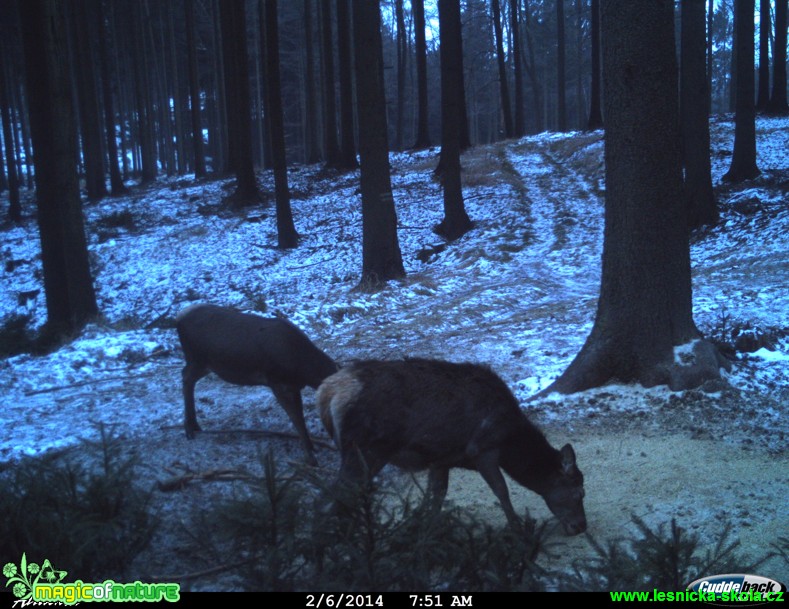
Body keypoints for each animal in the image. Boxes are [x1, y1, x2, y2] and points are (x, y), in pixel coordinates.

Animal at [174, 302, 338, 464]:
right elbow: (296, 417)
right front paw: (310, 457)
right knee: (186, 376)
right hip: (196, 359)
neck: (303, 372)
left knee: (188, 377)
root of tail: (179, 317)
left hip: (206, 364)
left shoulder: (294, 386)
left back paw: (194, 425)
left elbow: (299, 415)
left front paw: (312, 449)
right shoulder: (277, 383)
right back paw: (189, 428)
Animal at [318, 358, 584, 536]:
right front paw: (518, 527)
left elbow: (436, 495)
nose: (581, 526)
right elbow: (501, 490)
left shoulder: (441, 459)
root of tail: (326, 391)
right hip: (365, 449)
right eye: (579, 492)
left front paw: (425, 528)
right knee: (328, 500)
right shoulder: (482, 449)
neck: (510, 439)